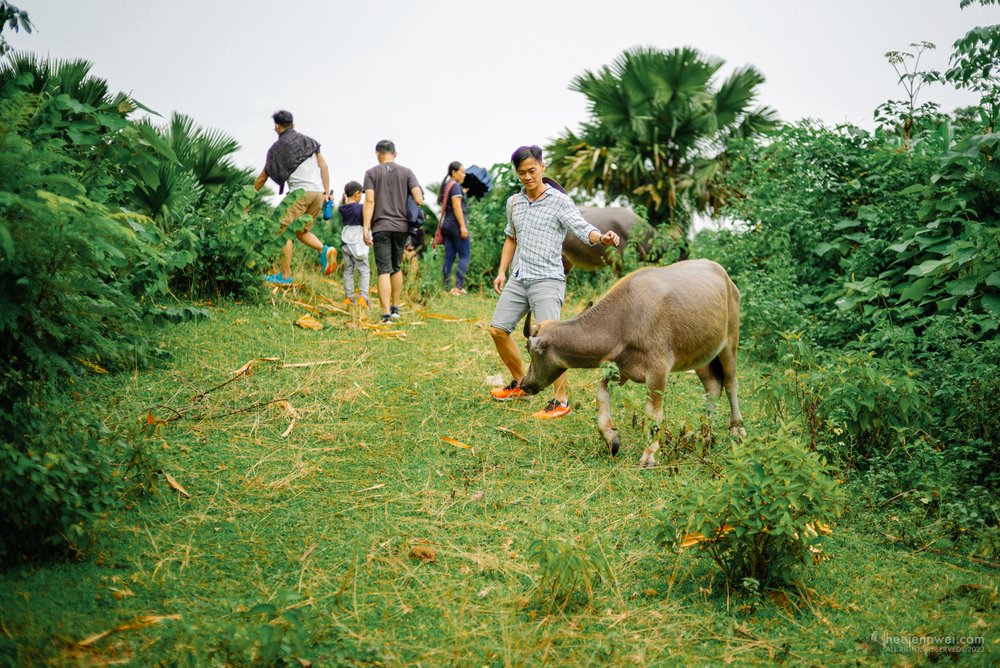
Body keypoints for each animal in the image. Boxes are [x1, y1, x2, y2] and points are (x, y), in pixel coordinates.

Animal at [516, 258, 744, 468]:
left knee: (731, 384)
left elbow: (653, 414)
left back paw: (737, 429)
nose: (525, 384)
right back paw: (705, 434)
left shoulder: (658, 371)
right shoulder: (620, 369)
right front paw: (611, 439)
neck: (624, 321)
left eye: (529, 349)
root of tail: (726, 277)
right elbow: (601, 395)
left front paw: (649, 455)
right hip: (702, 356)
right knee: (713, 387)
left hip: (729, 343)